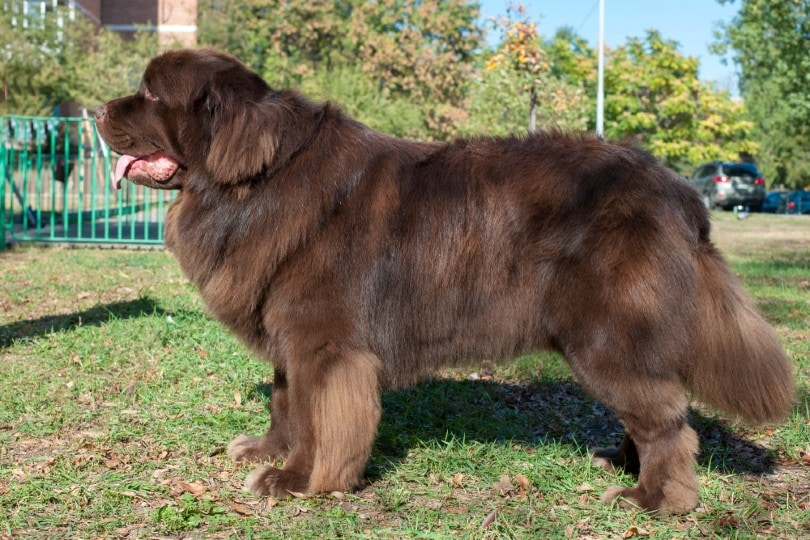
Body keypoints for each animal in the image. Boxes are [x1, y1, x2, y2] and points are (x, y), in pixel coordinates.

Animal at [96, 48, 796, 512]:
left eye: (151, 94)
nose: (99, 108)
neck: (251, 184)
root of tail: (678, 191)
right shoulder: (289, 334)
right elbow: (285, 401)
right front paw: (268, 452)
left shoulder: (325, 344)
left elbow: (320, 417)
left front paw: (298, 481)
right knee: (653, 406)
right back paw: (618, 458)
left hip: (606, 337)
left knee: (670, 420)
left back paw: (654, 497)